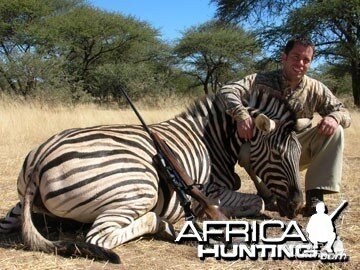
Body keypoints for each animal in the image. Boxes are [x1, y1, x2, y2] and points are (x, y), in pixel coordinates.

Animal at [0, 89, 304, 262]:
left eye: (300, 153)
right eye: (277, 155)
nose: (298, 205)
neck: (214, 141)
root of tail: (41, 158)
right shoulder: (212, 191)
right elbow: (256, 202)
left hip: (20, 203)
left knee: (7, 224)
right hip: (140, 187)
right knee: (100, 238)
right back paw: (164, 224)